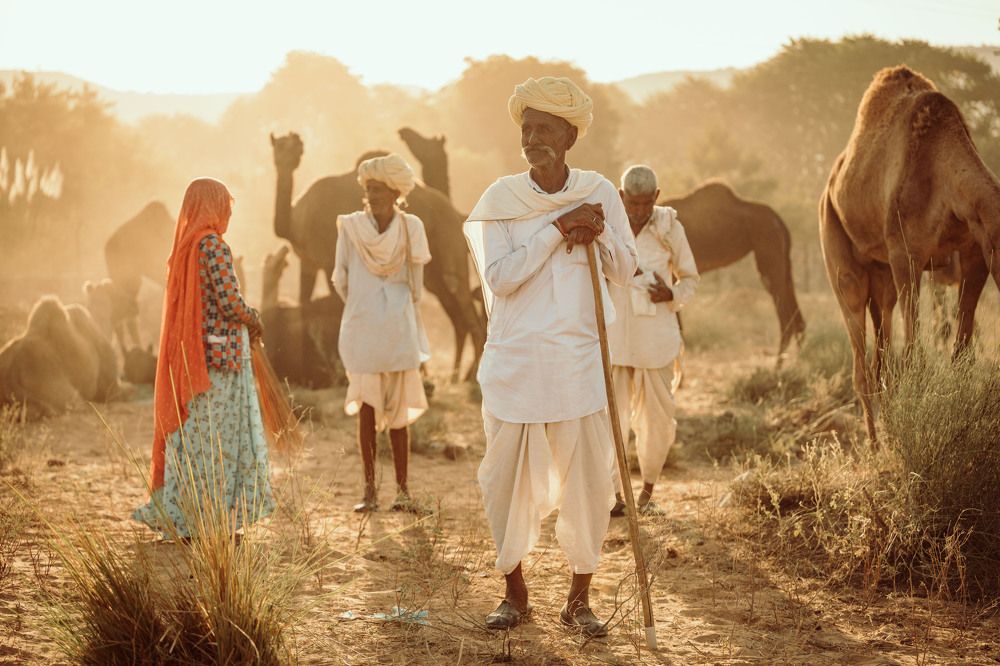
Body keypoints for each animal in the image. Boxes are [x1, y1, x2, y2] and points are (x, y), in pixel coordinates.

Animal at [270, 132, 486, 382]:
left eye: (297, 149)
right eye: (278, 147)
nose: (286, 159)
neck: (294, 223)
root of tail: (456, 214)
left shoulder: (327, 260)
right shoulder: (309, 262)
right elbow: (304, 302)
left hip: (452, 252)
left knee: (469, 313)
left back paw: (469, 378)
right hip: (433, 275)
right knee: (458, 318)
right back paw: (454, 375)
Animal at [664, 182, 806, 359]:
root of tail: (778, 220)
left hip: (768, 253)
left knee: (785, 316)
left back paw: (781, 362)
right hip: (783, 259)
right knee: (796, 317)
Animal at [820, 65, 1000, 441]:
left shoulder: (976, 250)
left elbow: (962, 350)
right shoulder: (906, 255)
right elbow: (915, 354)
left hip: (881, 276)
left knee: (881, 356)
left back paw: (886, 435)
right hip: (837, 244)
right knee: (861, 360)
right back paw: (875, 445)